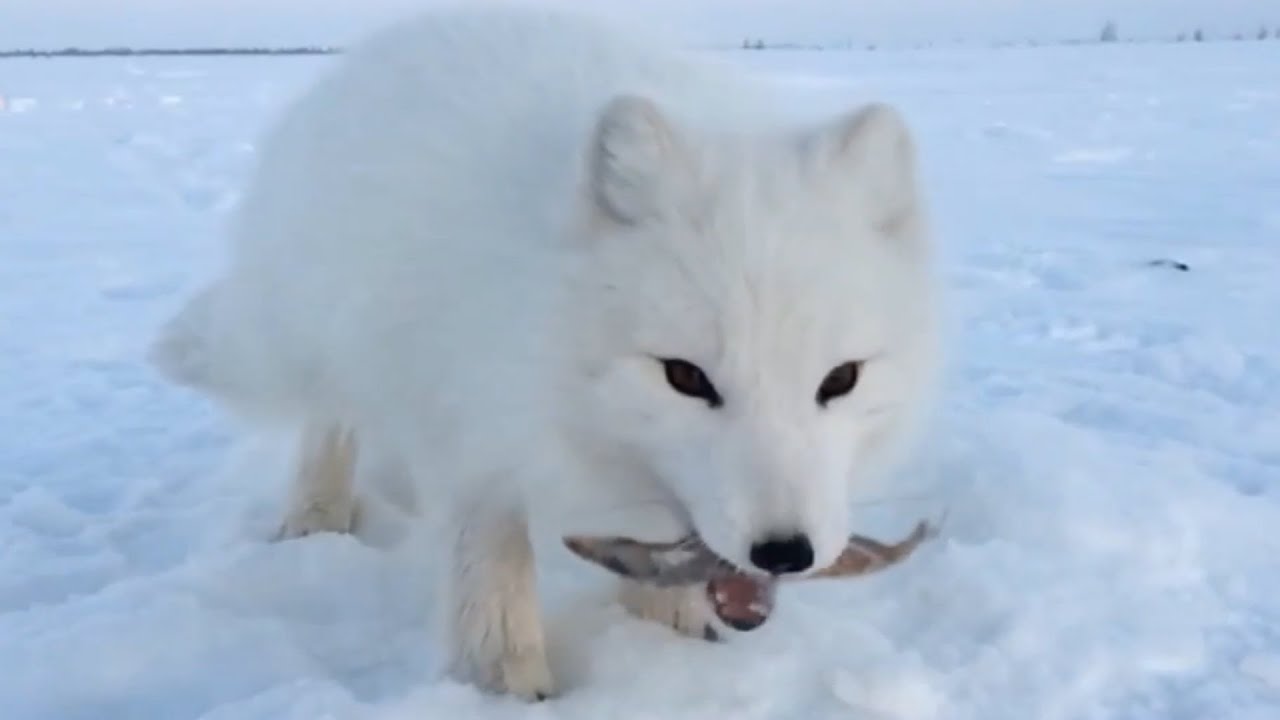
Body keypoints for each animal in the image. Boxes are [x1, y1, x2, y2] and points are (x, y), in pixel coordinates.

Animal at [149, 2, 942, 696]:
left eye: (841, 378)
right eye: (685, 377)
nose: (785, 552)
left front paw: (668, 636)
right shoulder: (467, 414)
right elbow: (489, 557)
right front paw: (505, 681)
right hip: (327, 329)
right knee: (329, 415)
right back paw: (316, 514)